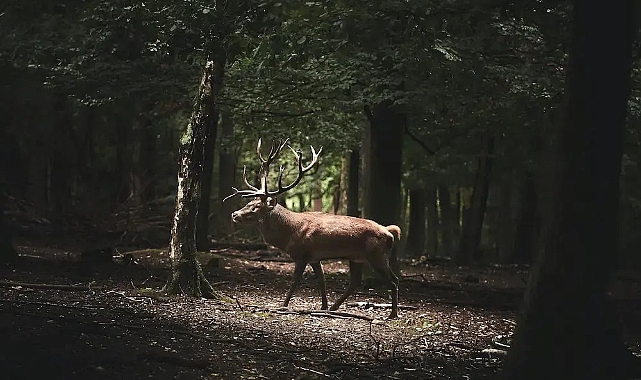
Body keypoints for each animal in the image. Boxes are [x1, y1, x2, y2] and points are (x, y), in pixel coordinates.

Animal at [222, 138, 398, 320]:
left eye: (255, 207)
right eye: (249, 202)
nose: (234, 214)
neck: (289, 235)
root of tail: (390, 233)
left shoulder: (302, 254)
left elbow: (295, 281)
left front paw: (283, 305)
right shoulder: (314, 257)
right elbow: (322, 280)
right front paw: (323, 306)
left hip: (377, 255)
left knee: (393, 281)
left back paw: (392, 314)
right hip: (357, 257)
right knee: (357, 282)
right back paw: (334, 307)